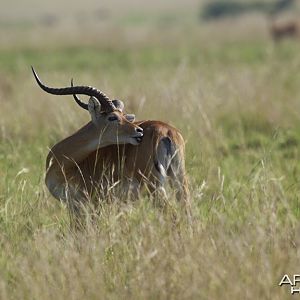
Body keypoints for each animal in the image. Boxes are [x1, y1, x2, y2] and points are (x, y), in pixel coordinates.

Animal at [31, 67, 190, 218]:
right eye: (113, 117)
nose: (139, 131)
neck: (64, 163)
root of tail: (166, 132)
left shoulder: (85, 204)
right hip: (179, 179)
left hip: (155, 187)